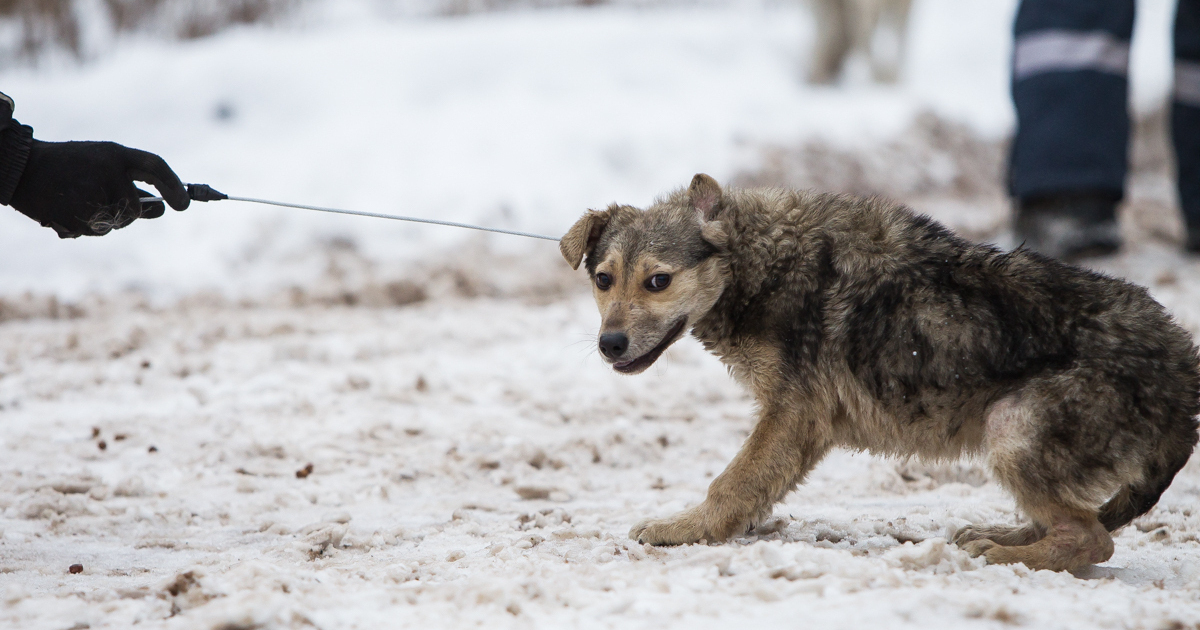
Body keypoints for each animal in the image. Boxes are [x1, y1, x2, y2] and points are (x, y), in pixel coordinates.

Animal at [561, 174, 1200, 571]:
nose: (610, 344)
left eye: (658, 281)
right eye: (603, 280)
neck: (760, 264)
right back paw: (1004, 536)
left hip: (1011, 427)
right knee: (1076, 525)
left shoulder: (793, 414)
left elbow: (732, 484)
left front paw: (685, 528)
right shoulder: (798, 424)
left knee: (1093, 539)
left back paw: (1008, 555)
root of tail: (1183, 368)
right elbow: (747, 487)